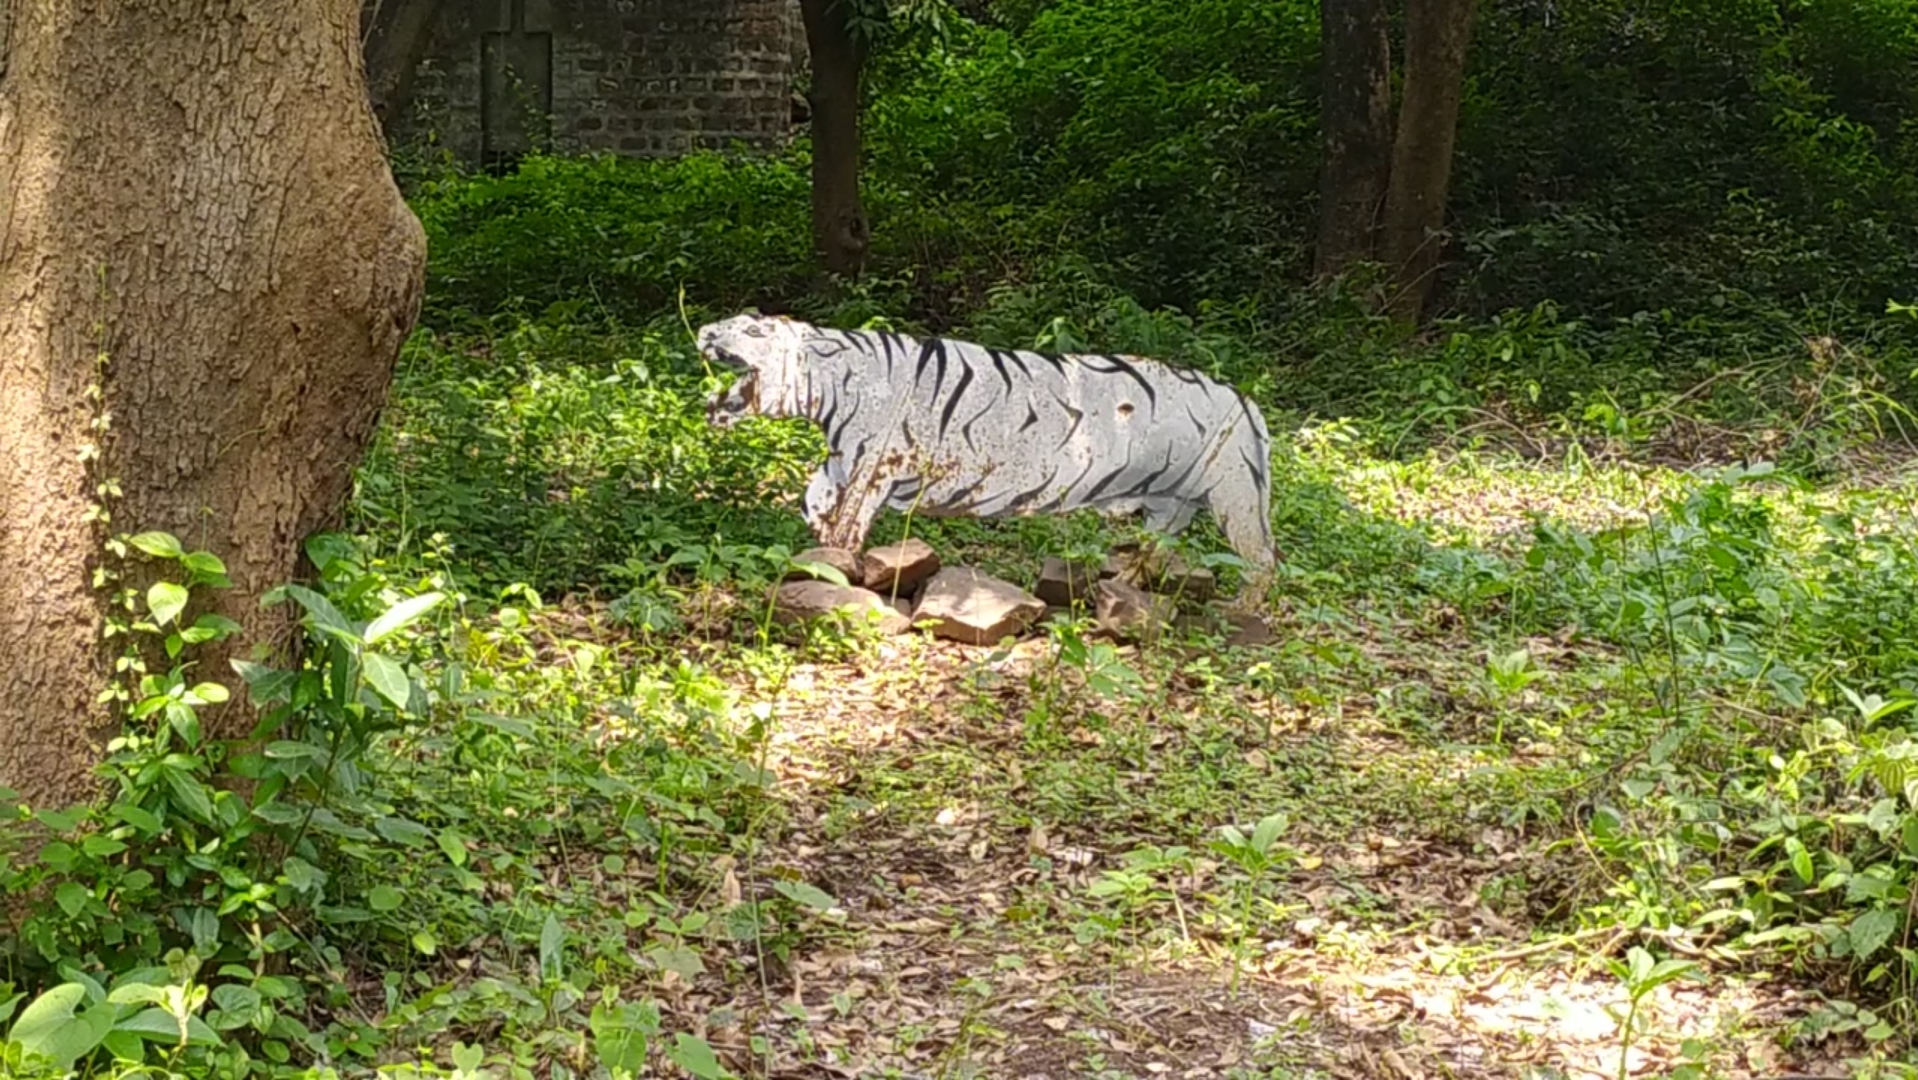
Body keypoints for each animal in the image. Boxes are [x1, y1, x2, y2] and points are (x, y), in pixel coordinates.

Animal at [698, 312, 1277, 602]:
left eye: (753, 329)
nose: (703, 331)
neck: (824, 390)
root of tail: (1244, 398)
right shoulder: (842, 459)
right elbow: (813, 497)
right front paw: (820, 542)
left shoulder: (872, 465)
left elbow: (848, 523)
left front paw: (838, 564)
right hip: (1169, 502)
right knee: (1157, 547)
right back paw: (1124, 586)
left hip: (1234, 496)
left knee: (1263, 562)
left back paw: (1243, 613)